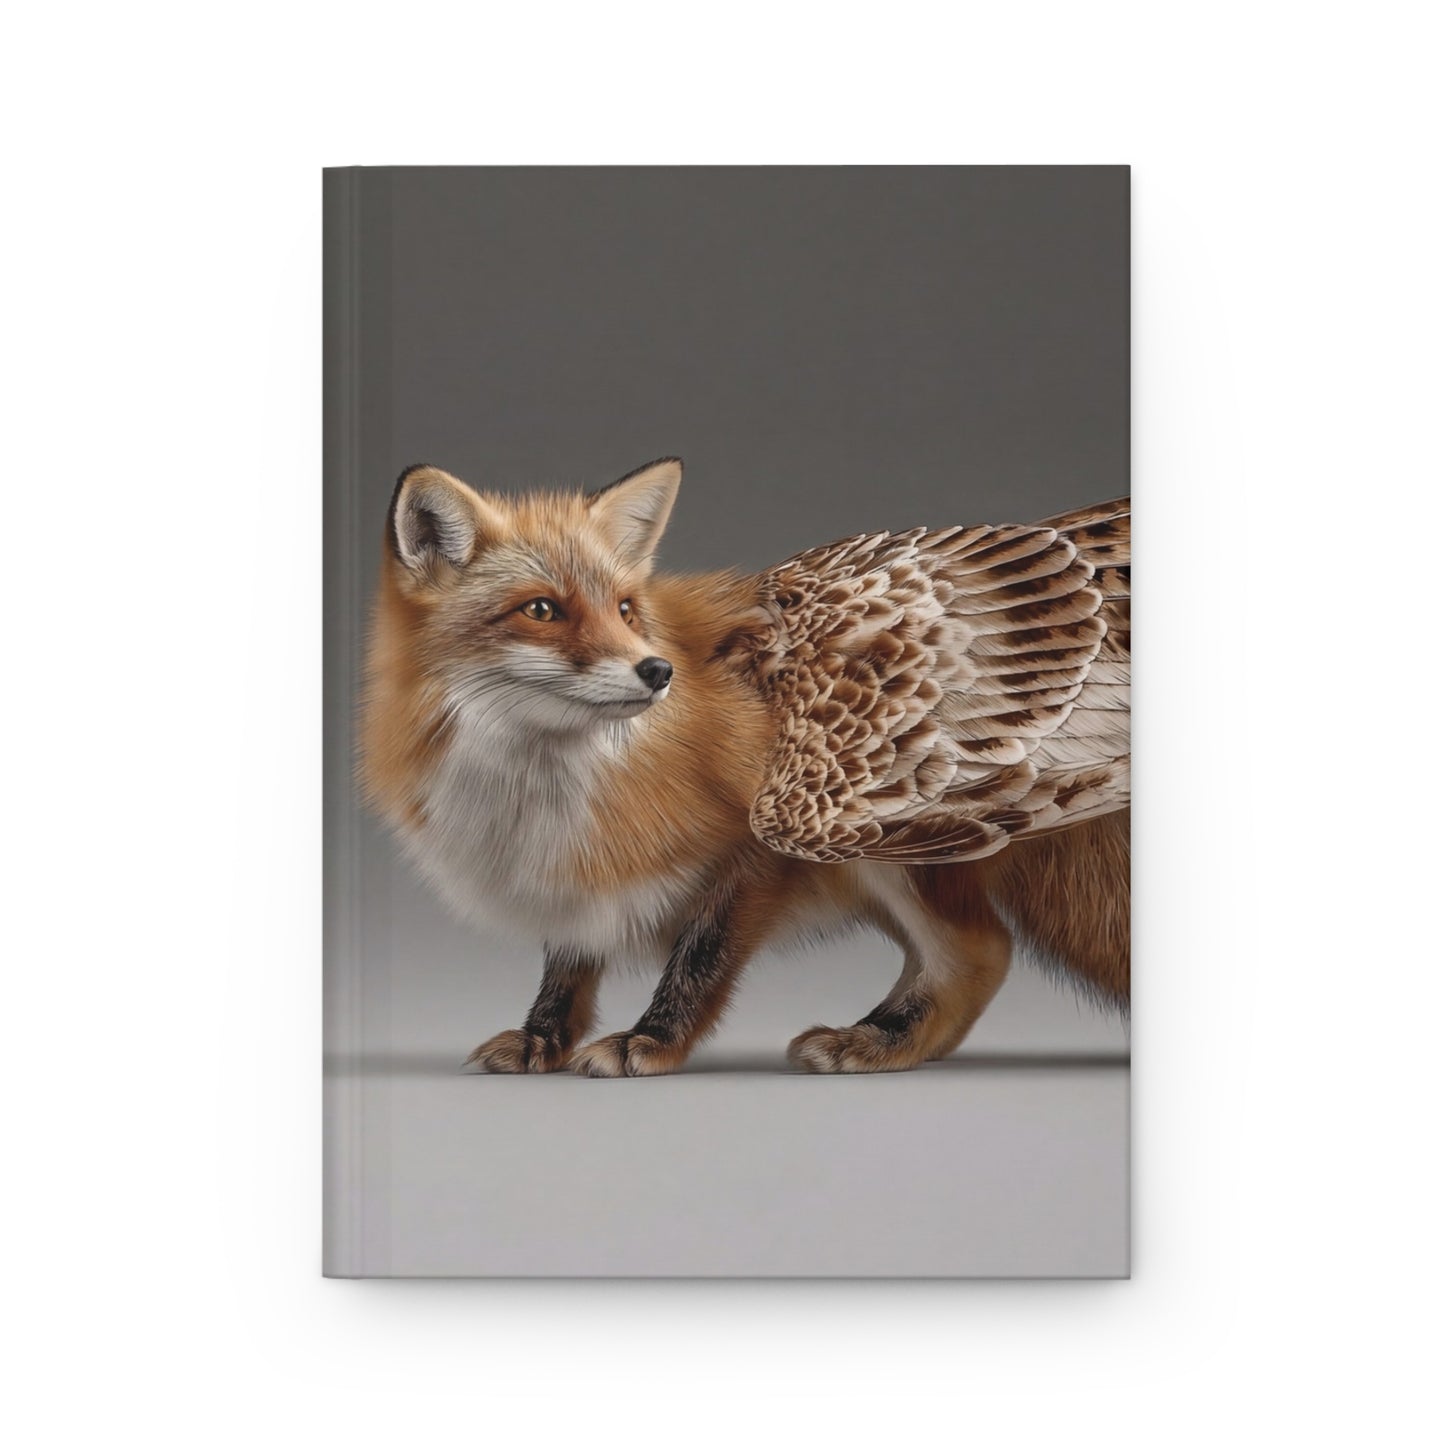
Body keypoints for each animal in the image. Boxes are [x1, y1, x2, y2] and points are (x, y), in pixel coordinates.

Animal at [359, 457, 1130, 1077]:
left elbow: (697, 960)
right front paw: (541, 1039)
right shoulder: (574, 872)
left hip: (883, 839)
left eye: (626, 609)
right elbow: (567, 969)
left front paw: (651, 1041)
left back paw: (878, 1042)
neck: (542, 790)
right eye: (542, 609)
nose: (657, 671)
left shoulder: (754, 856)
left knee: (979, 952)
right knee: (976, 956)